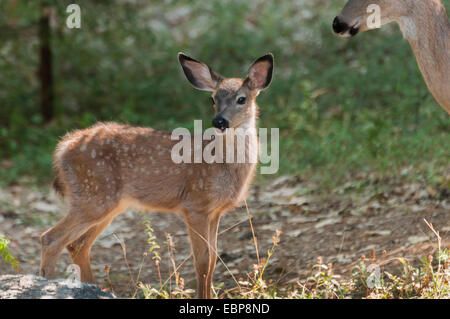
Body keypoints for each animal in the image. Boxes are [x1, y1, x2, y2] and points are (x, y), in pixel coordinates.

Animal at [40, 53, 274, 300]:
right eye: (212, 99)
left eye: (242, 99)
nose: (219, 121)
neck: (222, 164)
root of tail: (62, 148)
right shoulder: (195, 205)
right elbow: (202, 260)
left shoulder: (215, 211)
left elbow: (213, 258)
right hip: (93, 195)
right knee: (51, 238)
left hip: (106, 204)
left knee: (77, 244)